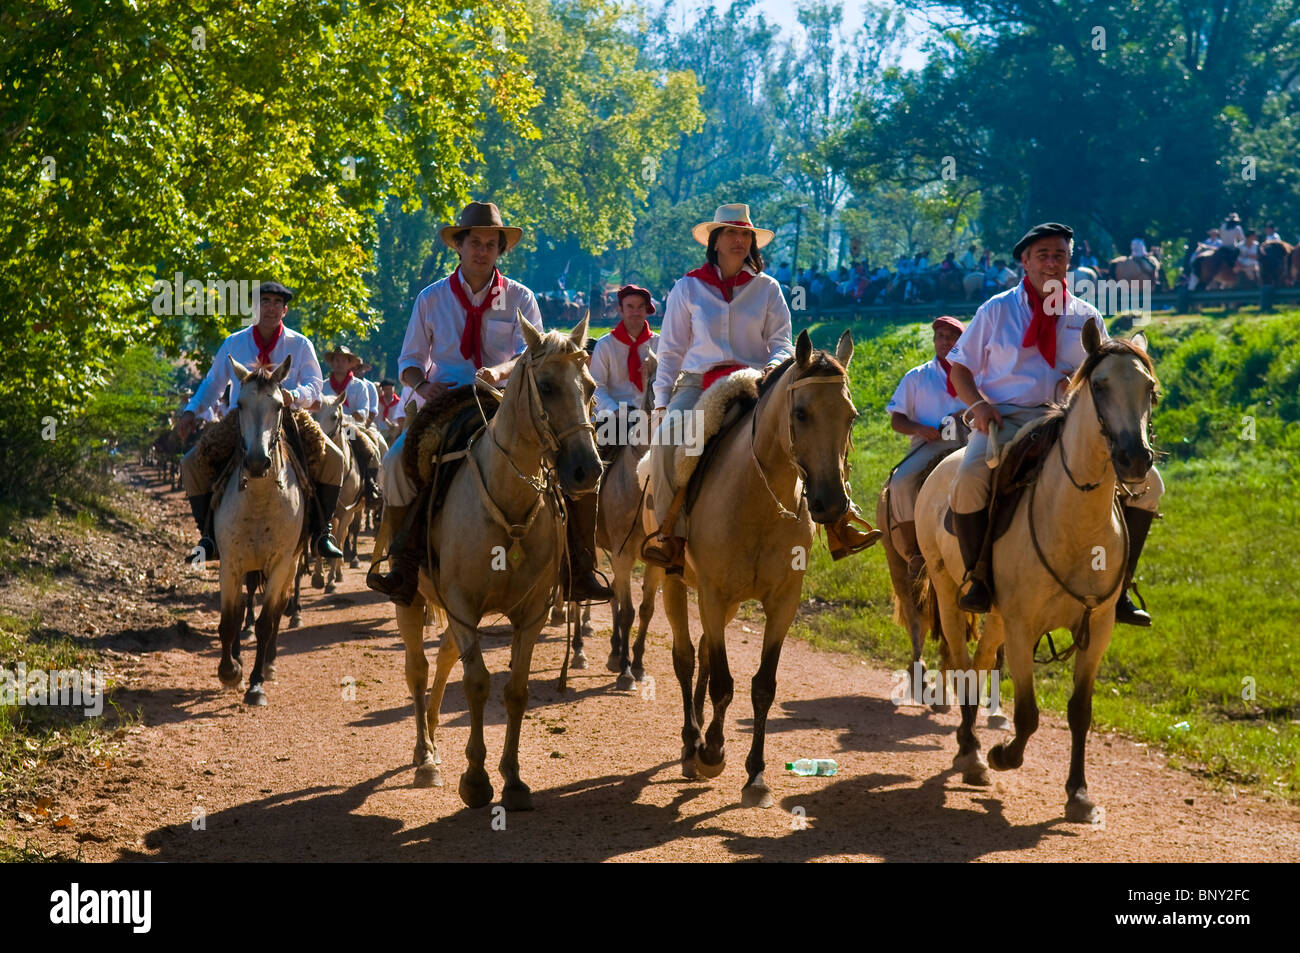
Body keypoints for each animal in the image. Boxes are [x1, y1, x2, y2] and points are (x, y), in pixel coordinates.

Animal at [392, 315, 600, 806]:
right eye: (546, 385)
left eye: (589, 386)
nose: (587, 470)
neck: (510, 503)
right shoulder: (464, 607)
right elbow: (477, 684)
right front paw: (476, 779)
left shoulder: (532, 614)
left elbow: (516, 690)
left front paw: (513, 778)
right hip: (411, 600)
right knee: (418, 669)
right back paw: (425, 756)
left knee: (444, 657)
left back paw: (433, 733)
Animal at [915, 325, 1159, 816]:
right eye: (1100, 385)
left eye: (1149, 389)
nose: (1135, 458)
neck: (1076, 524)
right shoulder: (1023, 626)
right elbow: (1027, 715)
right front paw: (1002, 755)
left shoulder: (1097, 628)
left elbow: (1080, 711)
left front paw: (1078, 793)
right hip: (951, 594)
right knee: (963, 663)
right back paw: (971, 753)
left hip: (996, 617)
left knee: (981, 663)